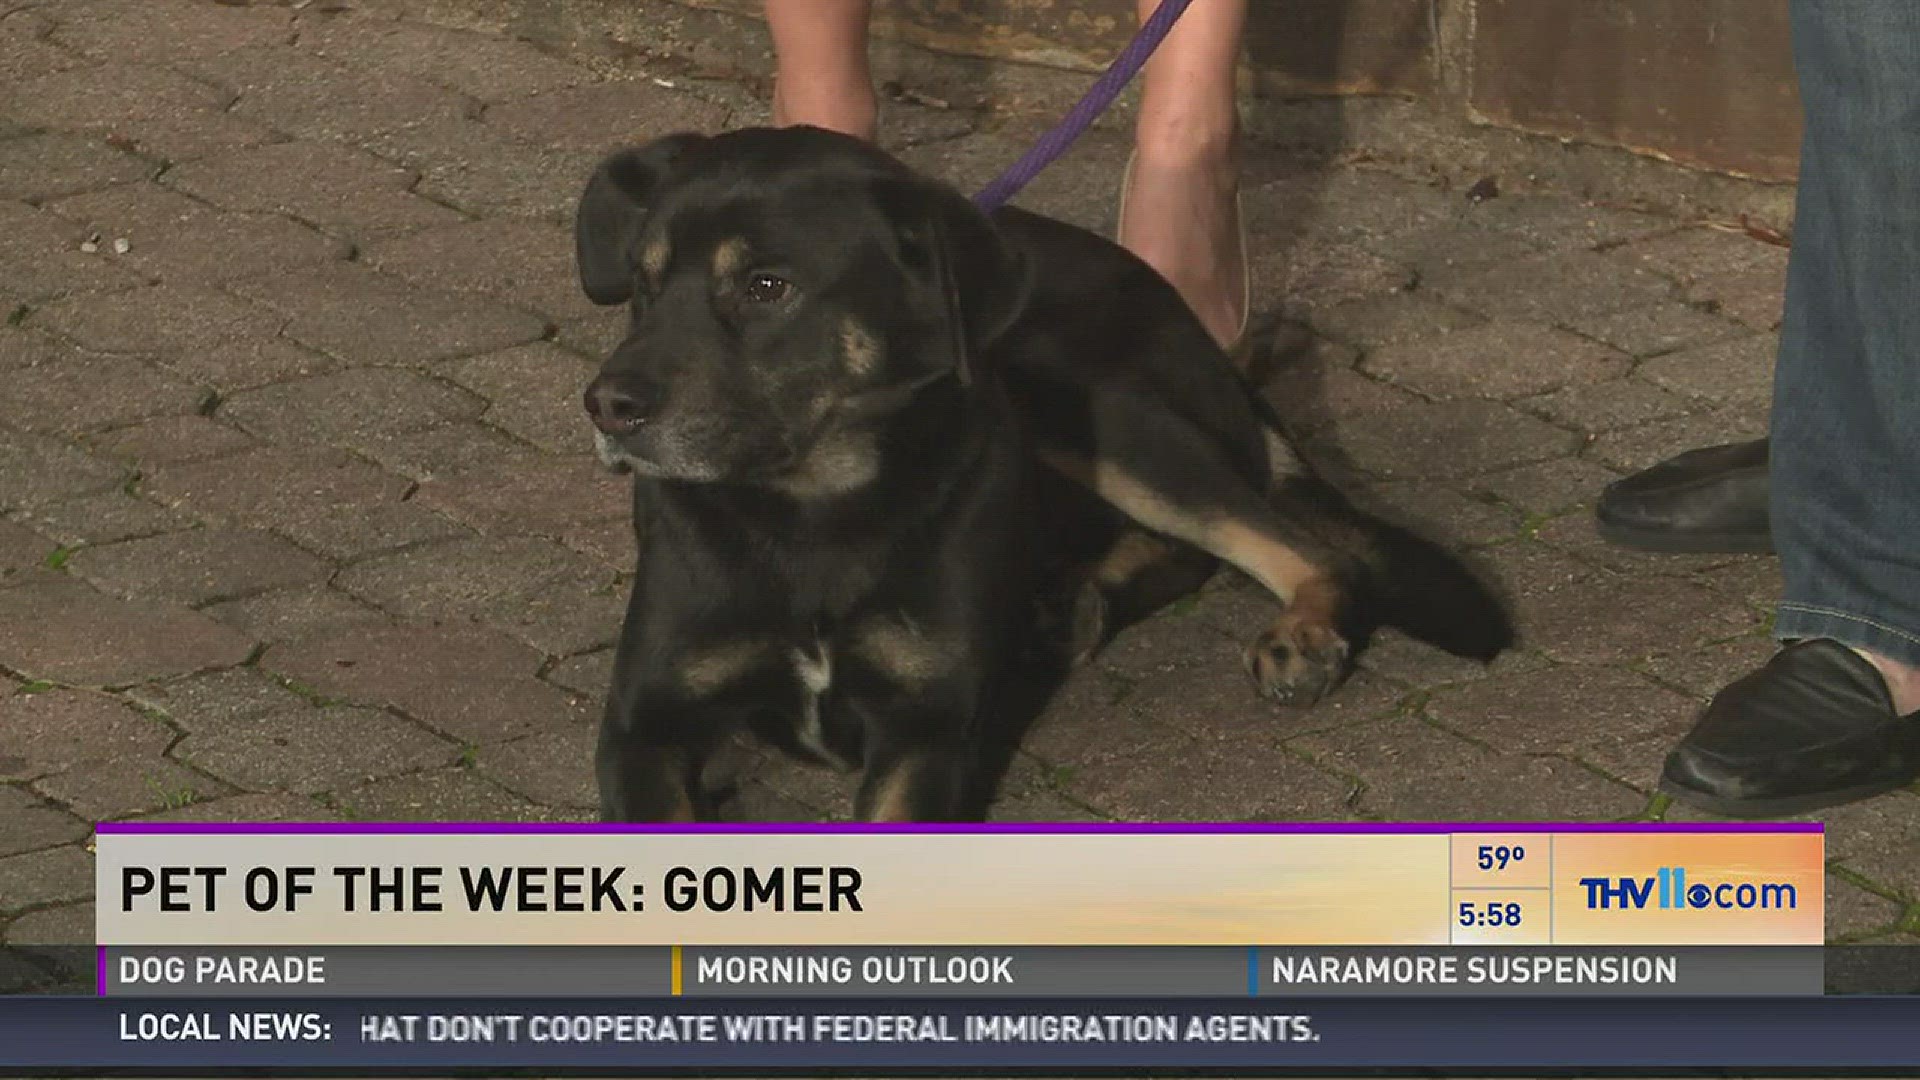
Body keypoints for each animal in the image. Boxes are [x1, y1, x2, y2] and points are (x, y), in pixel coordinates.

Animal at [572, 125, 1512, 814]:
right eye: (643, 284)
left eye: (766, 286)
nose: (606, 406)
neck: (816, 510)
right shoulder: (643, 726)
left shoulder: (926, 733)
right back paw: (1074, 602)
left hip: (1097, 410)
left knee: (1297, 546)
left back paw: (1299, 632)